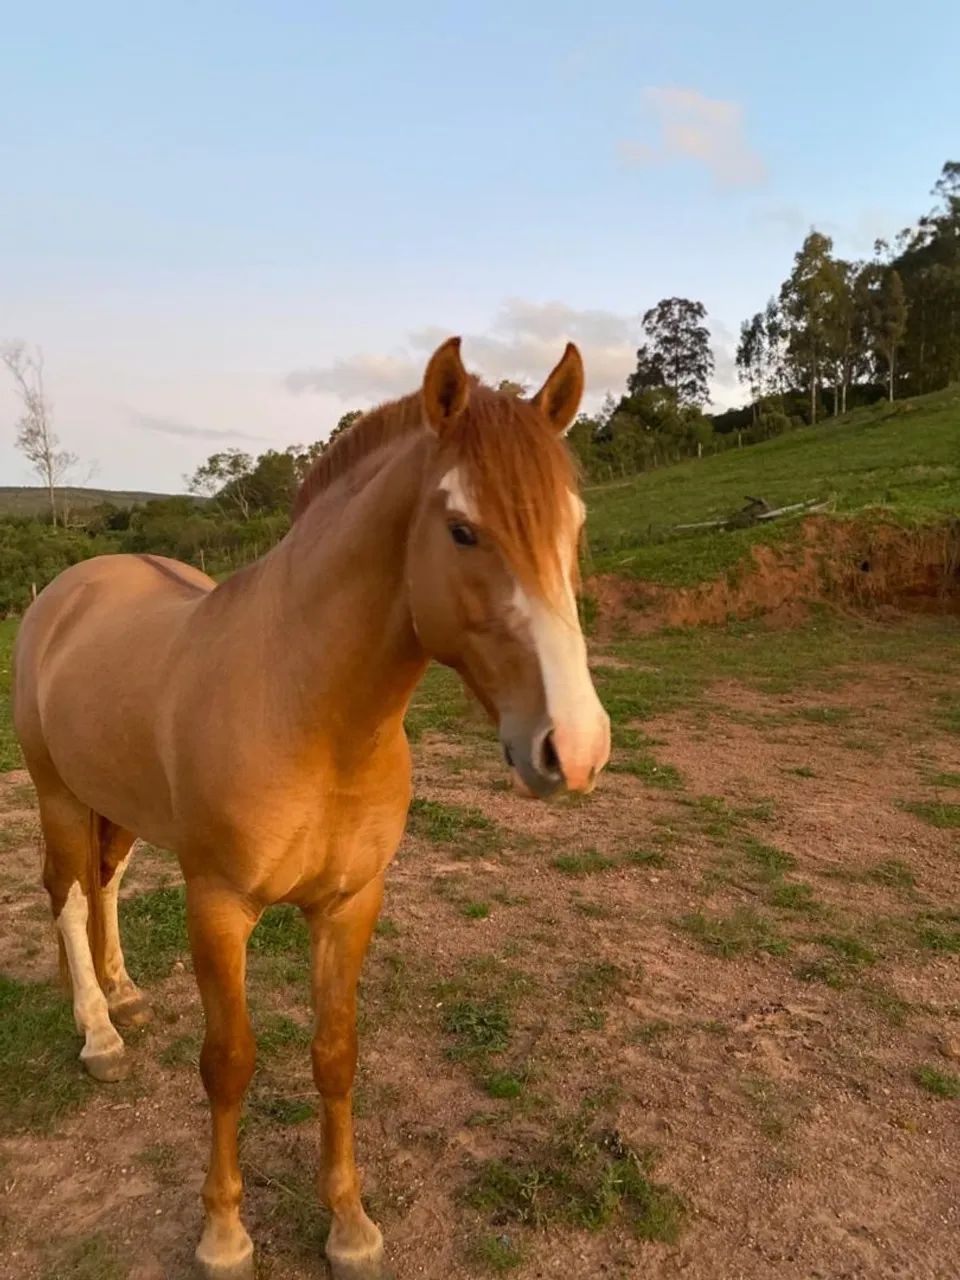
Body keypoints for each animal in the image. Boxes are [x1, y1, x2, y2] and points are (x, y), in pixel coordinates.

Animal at [11, 337, 610, 1279]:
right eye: (462, 529)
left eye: (573, 527)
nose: (576, 746)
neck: (310, 712)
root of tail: (69, 587)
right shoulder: (219, 907)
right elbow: (229, 1062)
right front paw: (223, 1235)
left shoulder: (349, 904)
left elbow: (335, 1055)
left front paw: (350, 1225)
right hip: (60, 796)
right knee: (69, 899)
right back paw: (100, 1035)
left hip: (121, 809)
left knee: (105, 887)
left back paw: (126, 995)